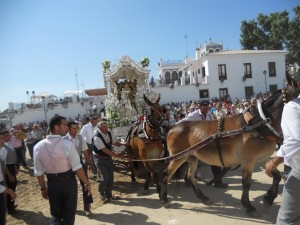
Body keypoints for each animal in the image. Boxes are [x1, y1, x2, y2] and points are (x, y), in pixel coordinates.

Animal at [161, 74, 300, 216]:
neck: (260, 124)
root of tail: (173, 127)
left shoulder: (261, 158)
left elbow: (276, 175)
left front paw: (269, 197)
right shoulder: (248, 161)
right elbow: (246, 183)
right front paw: (248, 205)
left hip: (192, 157)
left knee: (189, 176)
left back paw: (203, 197)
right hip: (178, 157)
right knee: (166, 174)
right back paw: (164, 199)